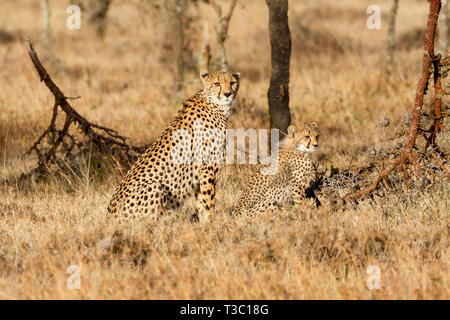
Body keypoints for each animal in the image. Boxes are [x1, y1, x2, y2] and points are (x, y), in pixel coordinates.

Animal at [107, 72, 241, 222]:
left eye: (233, 83)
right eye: (217, 84)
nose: (228, 94)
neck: (215, 104)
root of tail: (109, 216)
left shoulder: (198, 174)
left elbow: (201, 200)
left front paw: (204, 222)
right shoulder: (207, 167)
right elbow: (208, 198)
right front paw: (212, 221)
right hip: (155, 186)